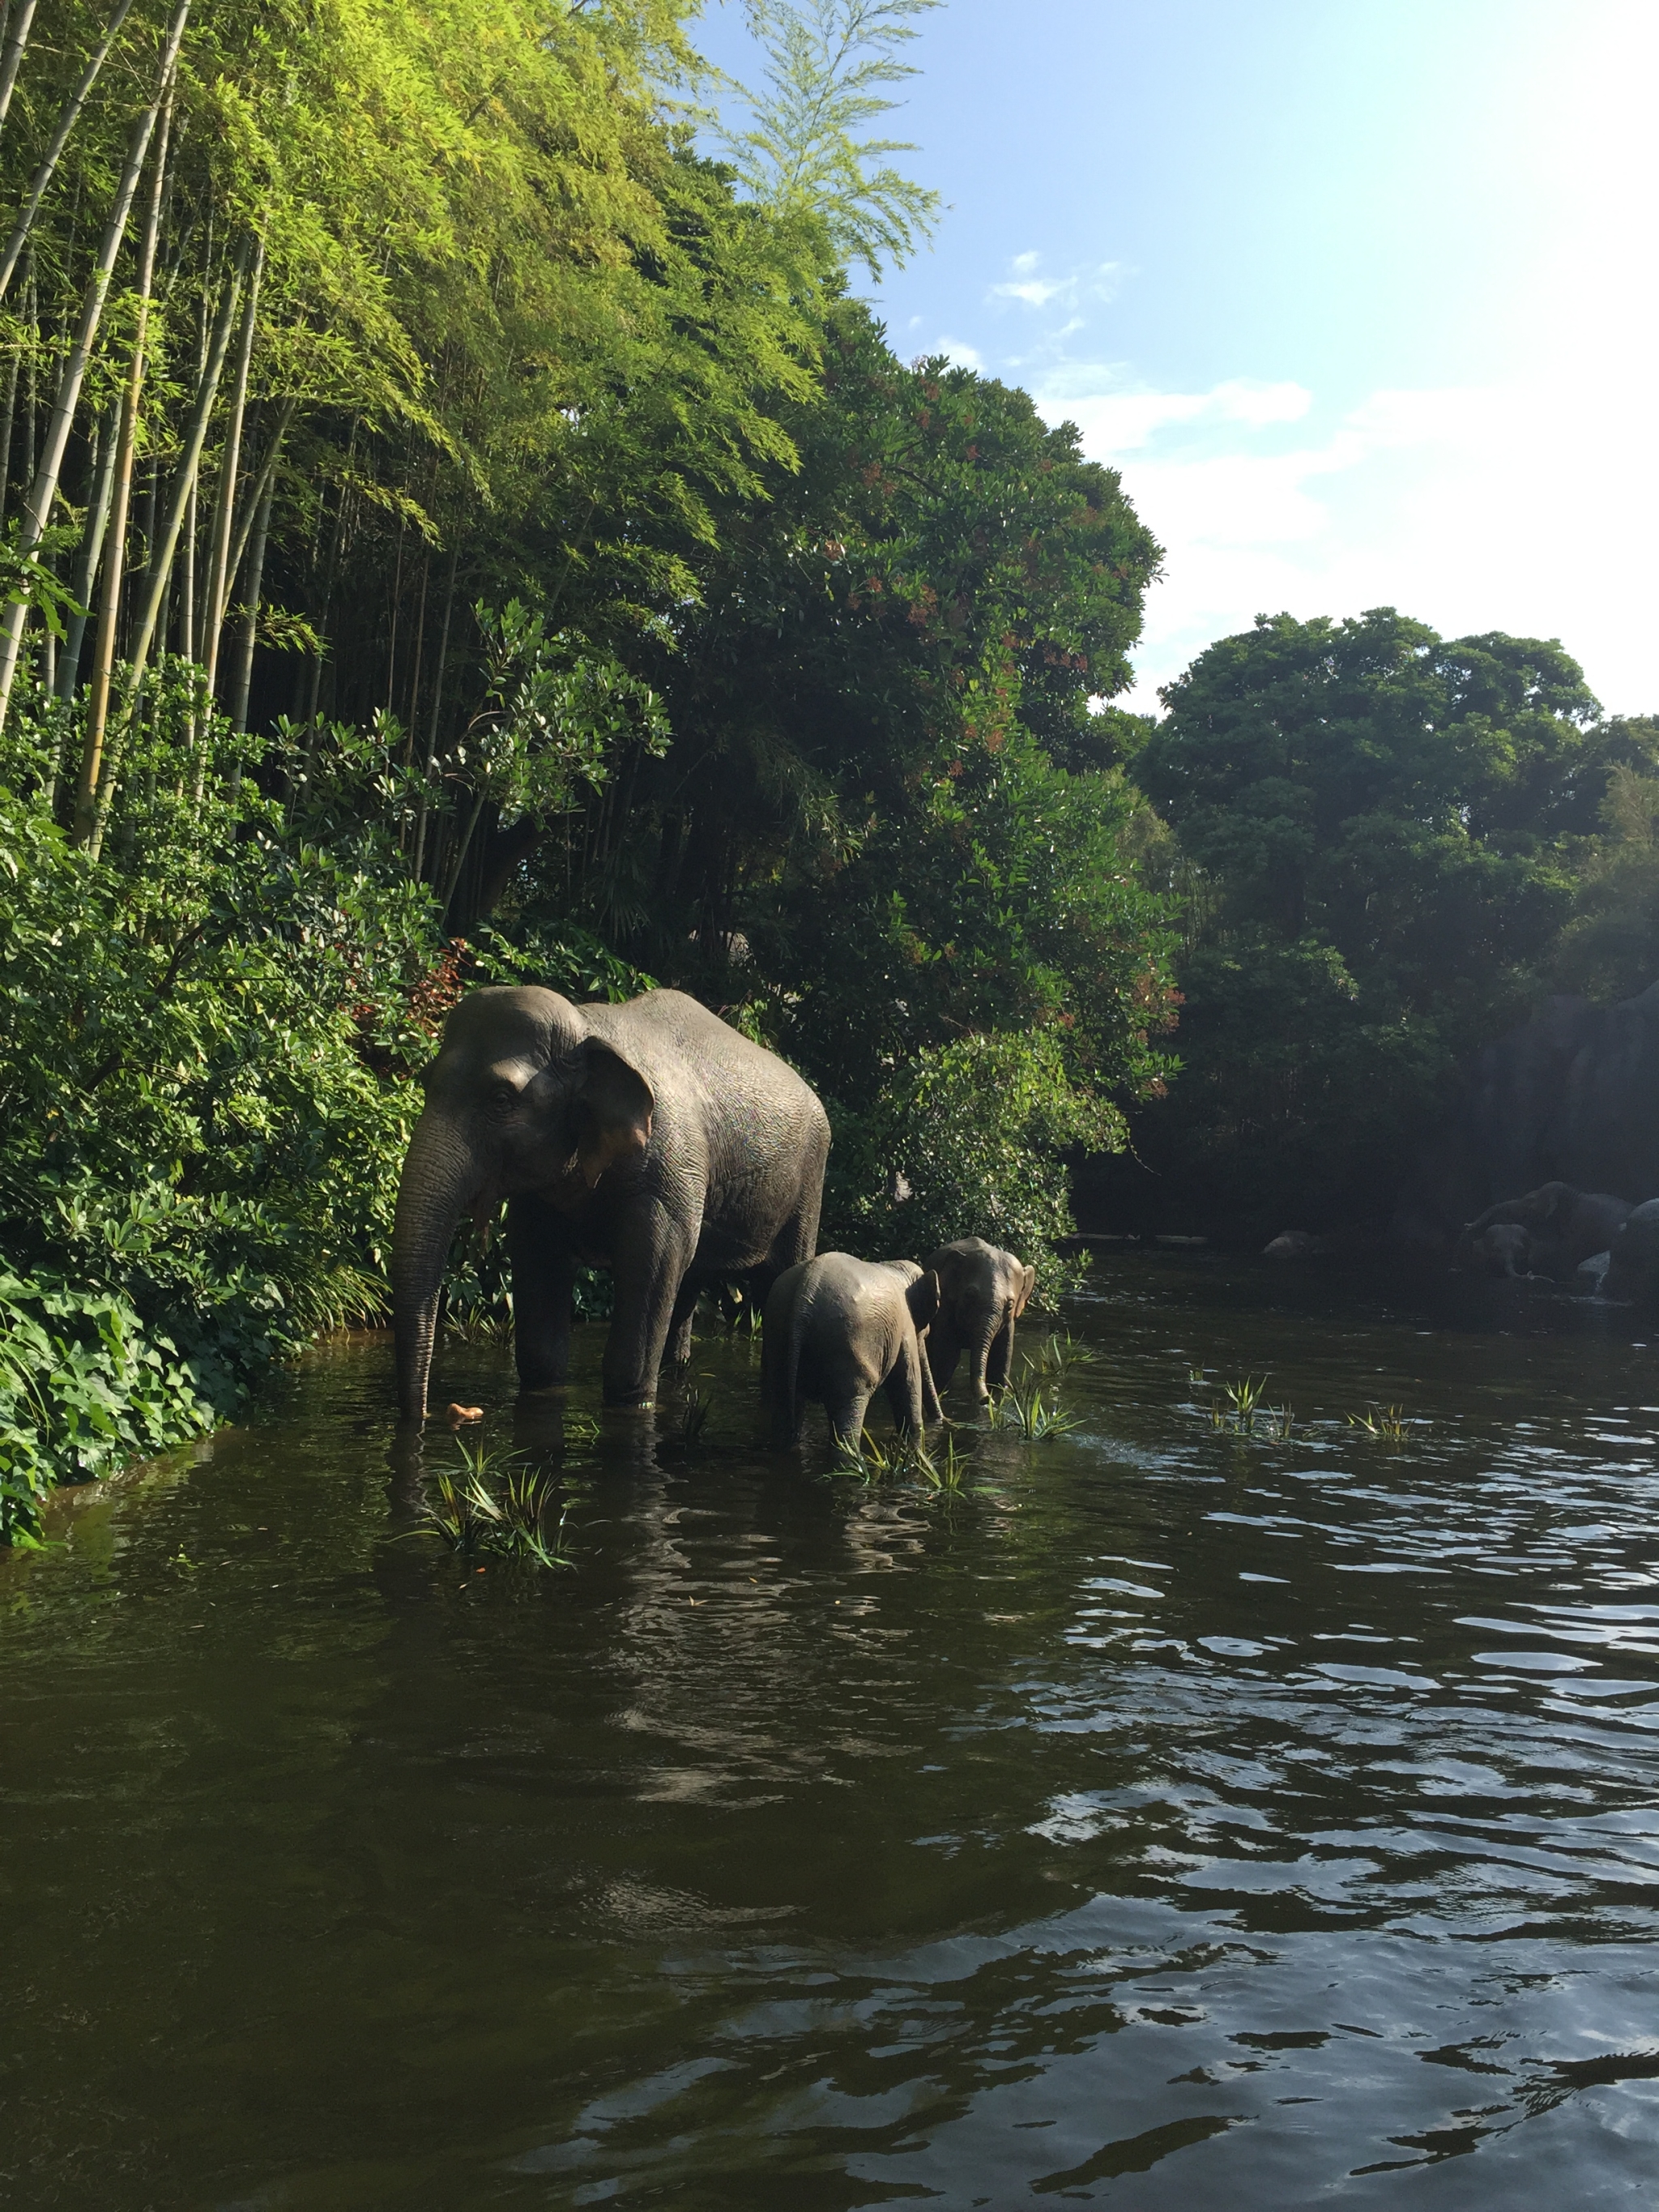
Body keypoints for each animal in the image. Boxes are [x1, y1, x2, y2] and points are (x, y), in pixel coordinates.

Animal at [391, 991, 831, 1416]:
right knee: (689, 1283)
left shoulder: (665, 1177)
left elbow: (652, 1267)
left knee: (778, 1277)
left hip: (809, 1182)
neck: (587, 1026)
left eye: (501, 1100)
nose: (431, 1414)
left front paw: (633, 1403)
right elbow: (539, 1289)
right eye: (426, 1081)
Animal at [765, 1265, 942, 1450]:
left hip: (779, 1334)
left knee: (783, 1407)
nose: (940, 1421)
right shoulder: (905, 1330)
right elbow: (907, 1383)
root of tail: (804, 1294)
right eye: (926, 1332)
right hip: (847, 1345)